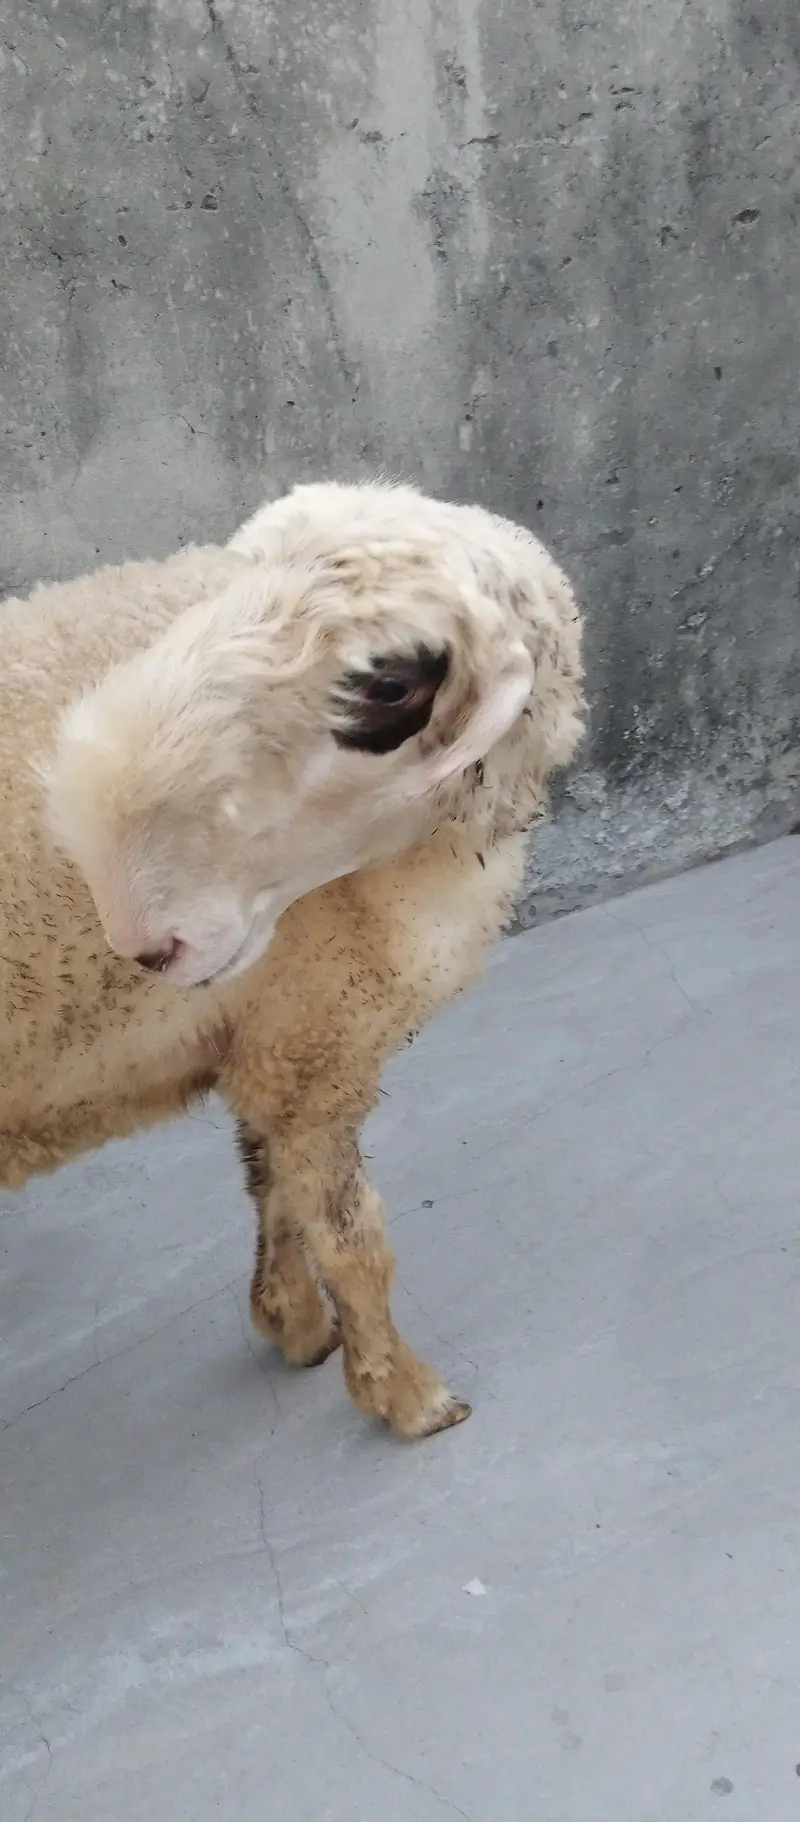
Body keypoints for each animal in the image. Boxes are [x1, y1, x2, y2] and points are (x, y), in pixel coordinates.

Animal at [2, 480, 584, 1438]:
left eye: (388, 684)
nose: (142, 935)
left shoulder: (278, 1035)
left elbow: (270, 1185)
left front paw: (294, 1325)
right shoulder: (319, 1037)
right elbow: (354, 1237)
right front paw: (409, 1397)